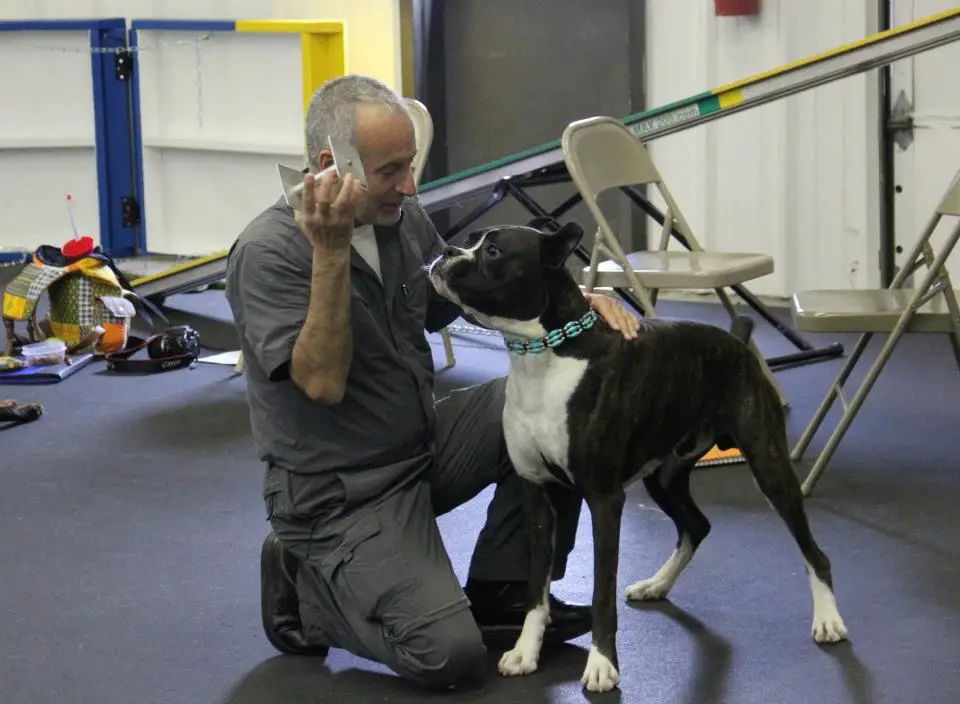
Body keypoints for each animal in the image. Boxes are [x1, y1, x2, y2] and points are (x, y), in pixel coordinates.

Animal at [428, 221, 848, 692]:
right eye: (470, 241)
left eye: (495, 251)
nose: (446, 251)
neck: (548, 354)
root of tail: (736, 340)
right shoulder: (536, 493)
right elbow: (536, 589)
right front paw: (525, 652)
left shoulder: (604, 500)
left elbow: (601, 592)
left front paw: (601, 665)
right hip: (663, 477)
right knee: (696, 526)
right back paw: (656, 584)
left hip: (768, 464)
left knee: (813, 552)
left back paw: (828, 620)